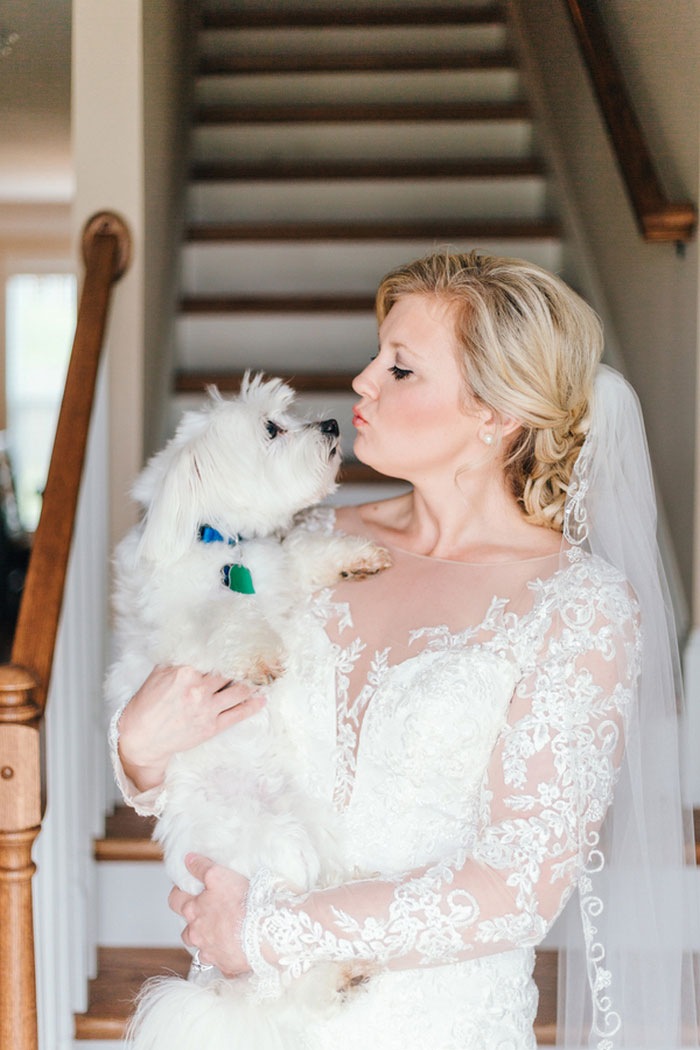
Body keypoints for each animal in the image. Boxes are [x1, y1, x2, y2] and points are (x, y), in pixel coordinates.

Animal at [108, 375, 394, 1050]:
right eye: (271, 429)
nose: (331, 426)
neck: (218, 539)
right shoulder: (181, 635)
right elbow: (225, 619)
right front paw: (260, 652)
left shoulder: (282, 567)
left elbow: (304, 551)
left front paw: (355, 554)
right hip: (274, 856)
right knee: (280, 959)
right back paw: (338, 975)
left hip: (315, 839)